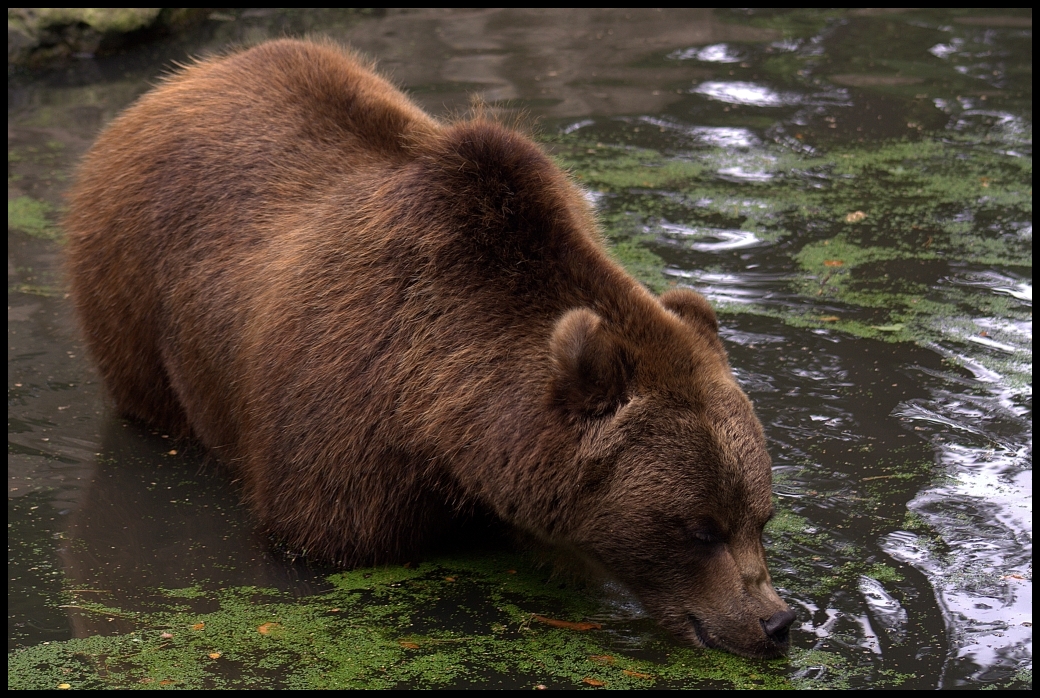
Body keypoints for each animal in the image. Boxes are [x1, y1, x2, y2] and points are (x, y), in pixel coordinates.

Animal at [67, 38, 794, 661]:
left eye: (761, 515)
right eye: (700, 527)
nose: (775, 622)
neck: (445, 424)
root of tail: (183, 78)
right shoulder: (343, 432)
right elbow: (321, 537)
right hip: (133, 289)